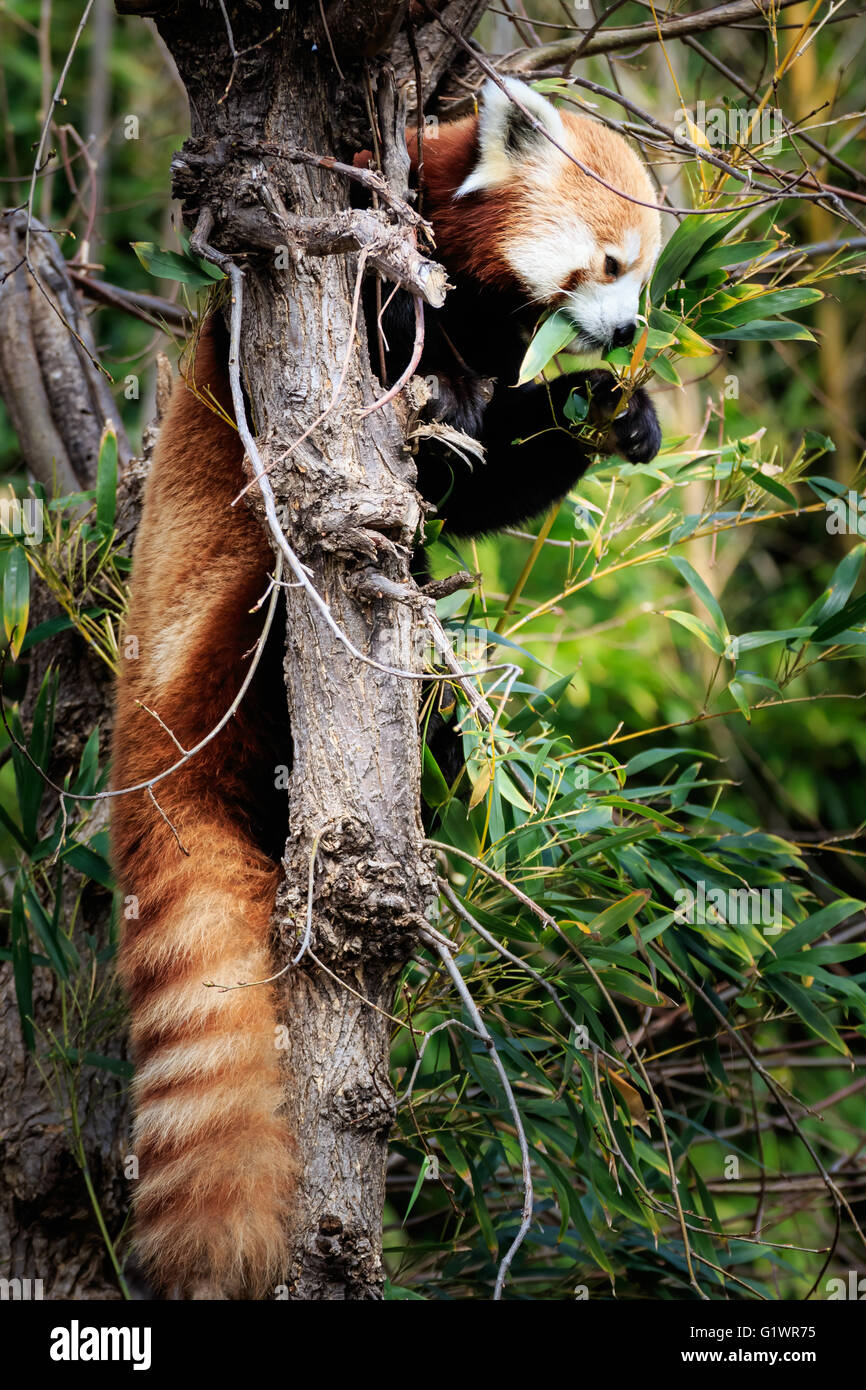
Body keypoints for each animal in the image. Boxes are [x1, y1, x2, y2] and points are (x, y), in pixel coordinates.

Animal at [111, 78, 662, 1299]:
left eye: (645, 270)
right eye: (608, 262)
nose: (630, 331)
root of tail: (143, 754)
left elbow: (476, 483)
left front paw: (613, 409)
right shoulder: (349, 295)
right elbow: (411, 402)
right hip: (228, 631)